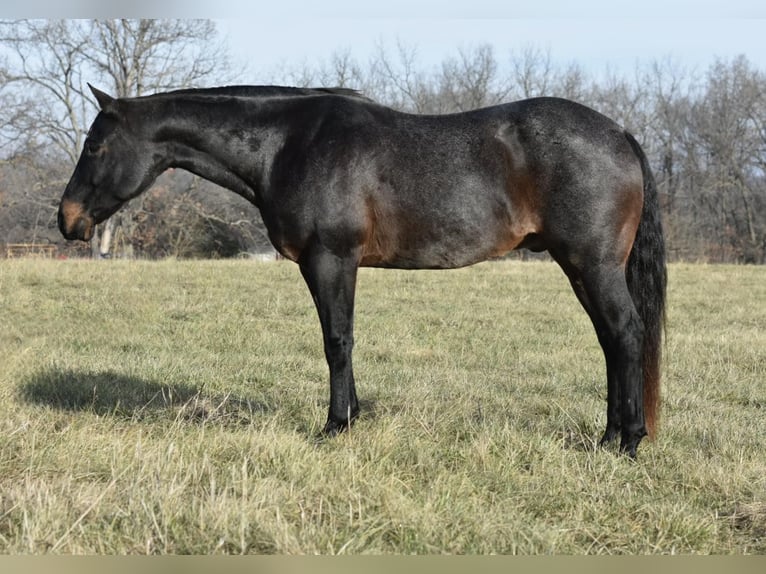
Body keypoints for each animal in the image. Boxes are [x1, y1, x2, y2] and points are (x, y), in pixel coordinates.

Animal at [58, 84, 664, 460]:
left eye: (96, 144)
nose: (67, 219)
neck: (287, 144)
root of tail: (621, 134)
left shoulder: (329, 258)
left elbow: (337, 341)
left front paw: (335, 425)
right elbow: (343, 339)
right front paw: (353, 416)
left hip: (592, 263)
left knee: (626, 334)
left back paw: (628, 441)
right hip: (581, 267)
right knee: (611, 340)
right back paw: (610, 436)